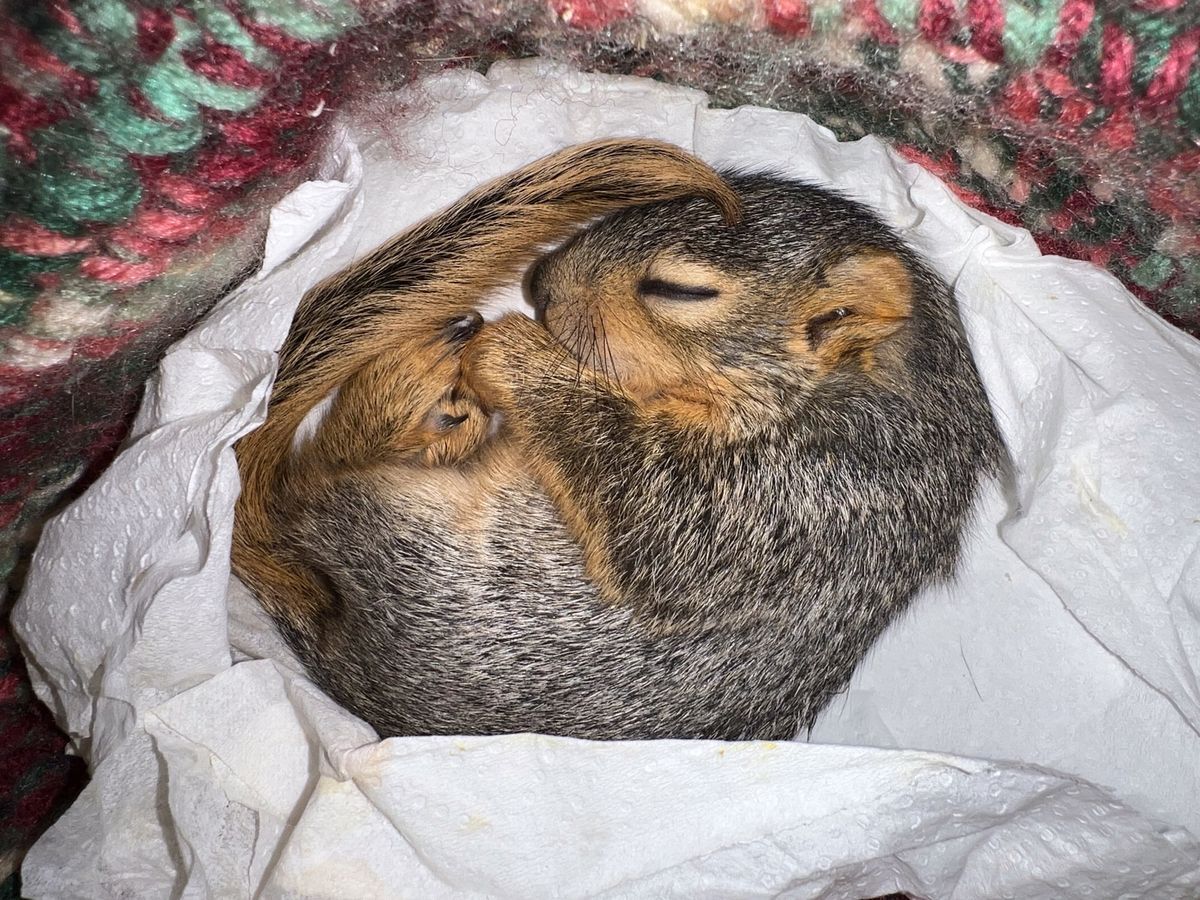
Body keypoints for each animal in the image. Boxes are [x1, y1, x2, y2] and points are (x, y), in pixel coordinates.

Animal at [231, 139, 1003, 741]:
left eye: (678, 290)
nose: (539, 281)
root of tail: (328, 615)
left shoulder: (795, 499)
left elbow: (649, 505)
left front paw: (515, 351)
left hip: (397, 536)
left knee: (321, 467)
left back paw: (410, 387)